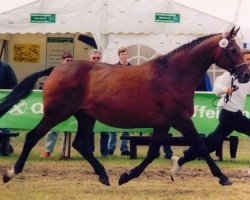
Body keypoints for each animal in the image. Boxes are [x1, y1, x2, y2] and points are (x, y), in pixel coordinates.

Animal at [0, 26, 249, 186]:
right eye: (233, 50)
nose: (245, 75)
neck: (173, 74)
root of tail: (56, 68)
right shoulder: (180, 119)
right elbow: (201, 145)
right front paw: (223, 177)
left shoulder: (163, 124)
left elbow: (152, 153)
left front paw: (127, 176)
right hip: (57, 113)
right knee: (33, 136)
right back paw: (11, 172)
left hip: (85, 116)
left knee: (80, 143)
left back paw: (103, 175)